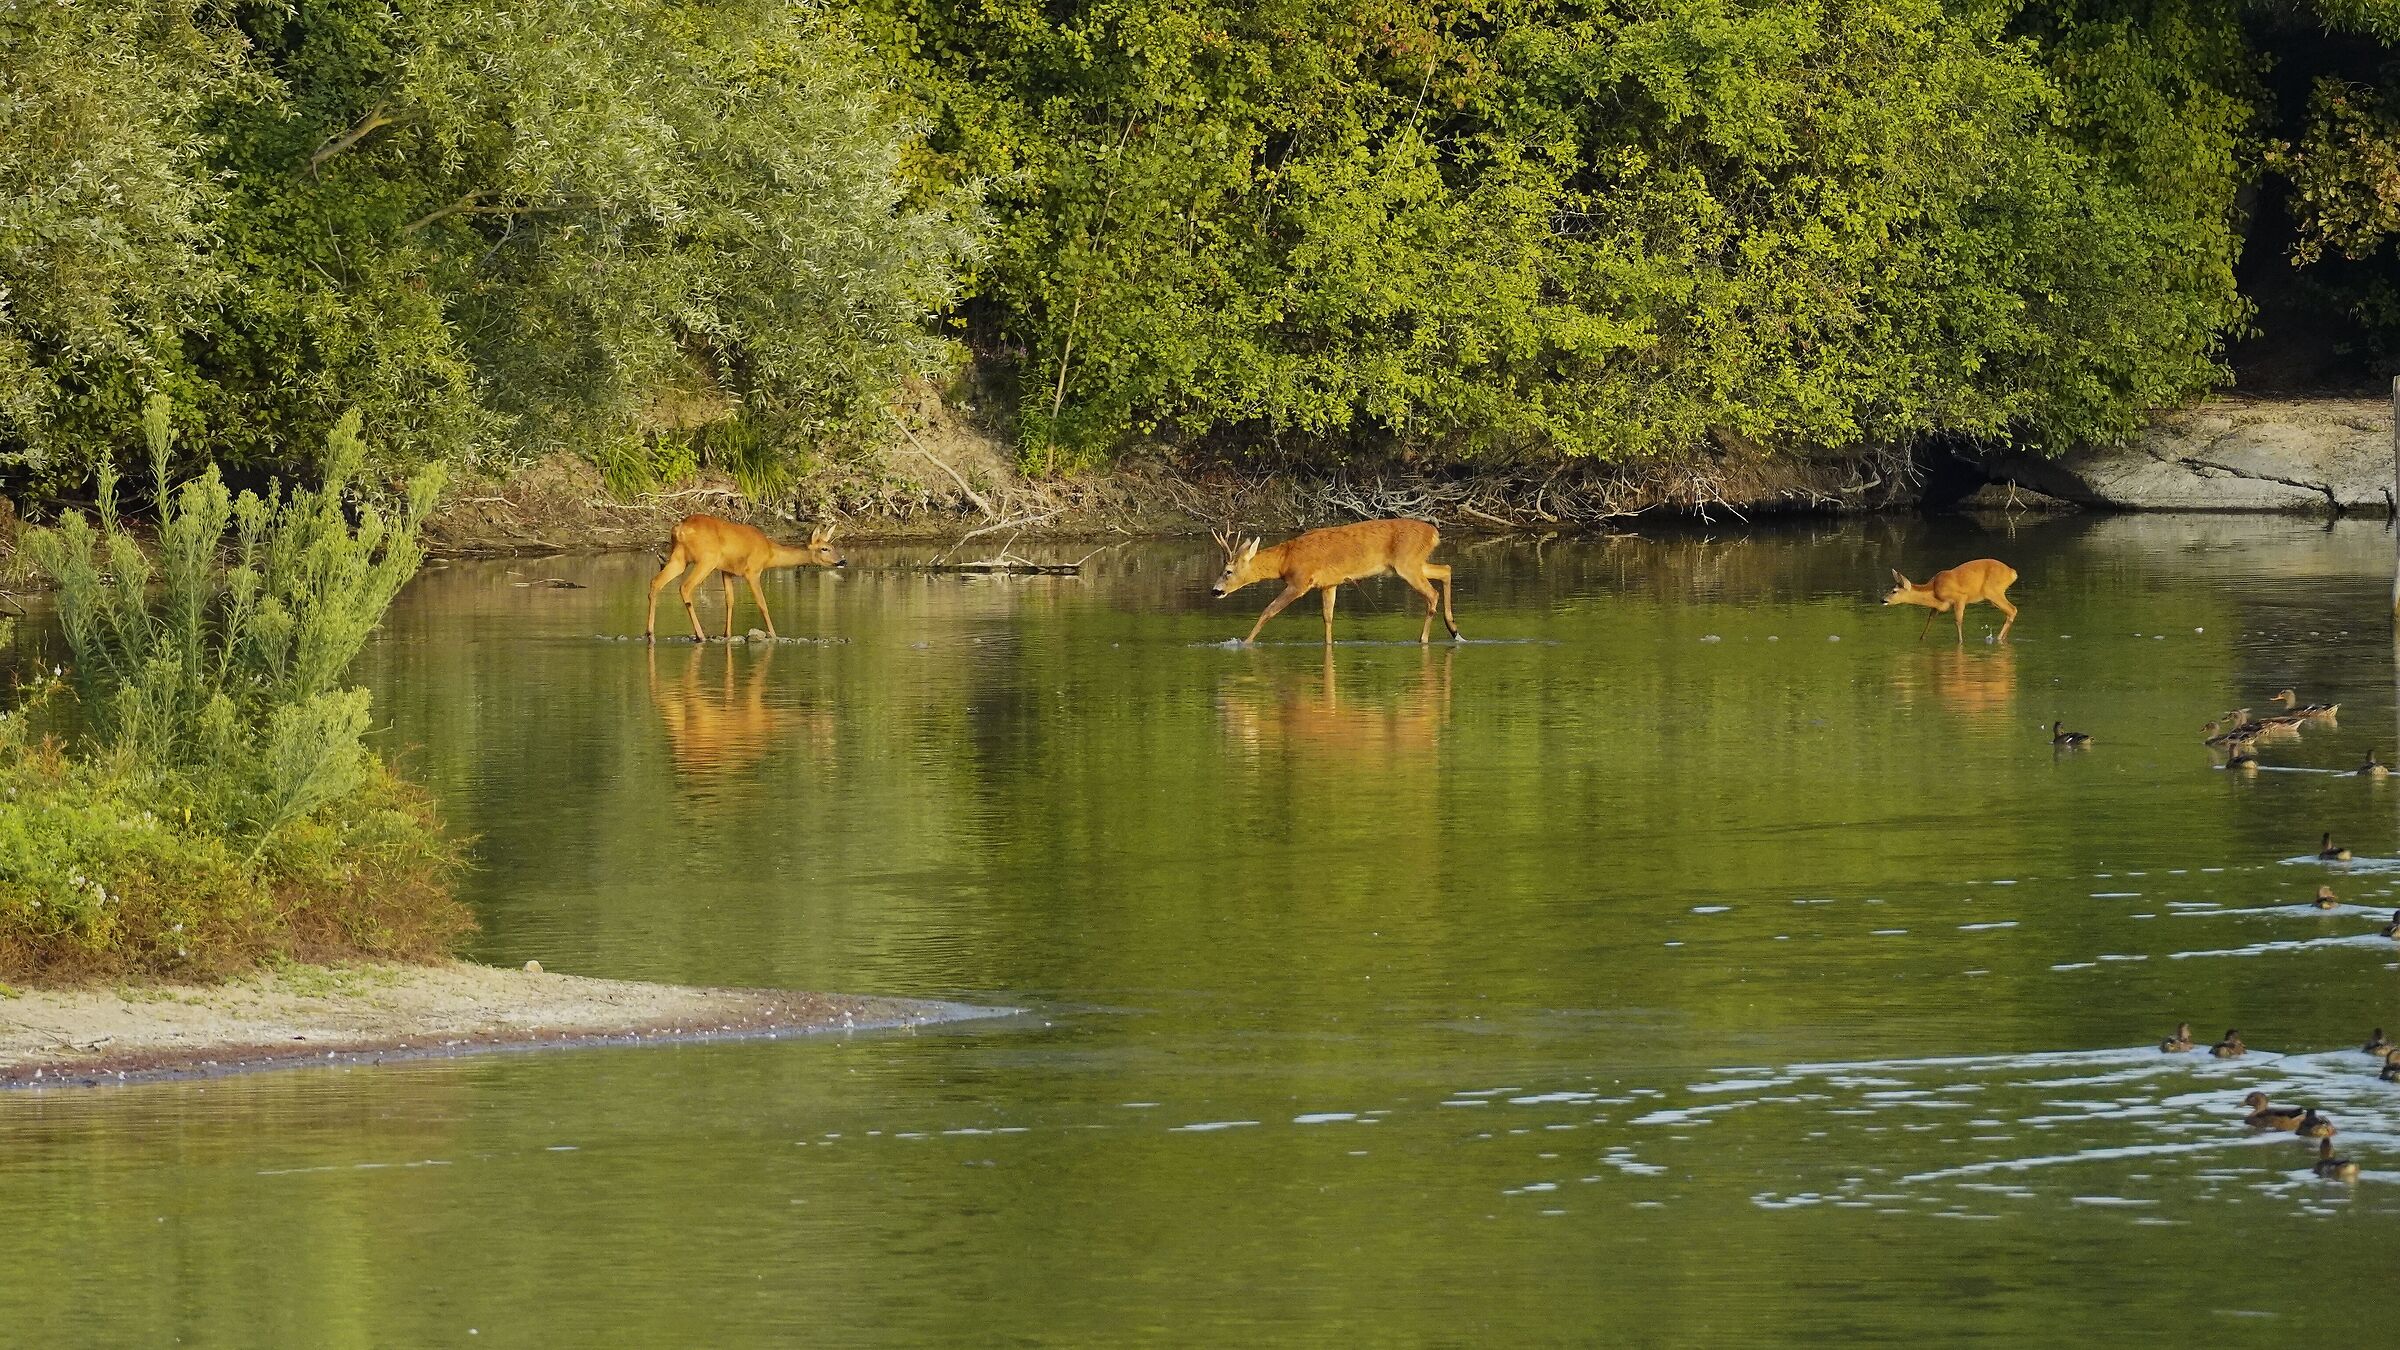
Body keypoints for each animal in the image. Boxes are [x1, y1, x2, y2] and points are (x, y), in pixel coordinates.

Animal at [645, 514, 845, 643]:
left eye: (833, 546)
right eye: (825, 549)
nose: (843, 560)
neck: (769, 553)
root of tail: (679, 529)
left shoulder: (726, 571)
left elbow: (730, 601)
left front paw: (727, 633)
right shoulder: (752, 571)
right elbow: (762, 603)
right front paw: (774, 634)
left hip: (680, 558)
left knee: (655, 582)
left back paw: (650, 634)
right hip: (706, 559)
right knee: (685, 587)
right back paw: (700, 635)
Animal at [1210, 519, 1461, 645]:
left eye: (1228, 571)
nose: (1215, 591)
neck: (1285, 560)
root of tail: (1434, 533)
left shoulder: (1300, 581)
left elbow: (1269, 610)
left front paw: (1244, 642)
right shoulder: (1329, 584)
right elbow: (1328, 617)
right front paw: (1329, 644)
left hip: (1407, 564)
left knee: (1432, 594)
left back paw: (1425, 639)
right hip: (1414, 563)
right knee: (1446, 570)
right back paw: (1454, 629)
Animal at [1881, 558, 2019, 644]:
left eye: (1894, 591)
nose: (1882, 600)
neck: (1933, 590)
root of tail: (2012, 573)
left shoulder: (1960, 598)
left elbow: (1958, 621)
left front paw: (1960, 642)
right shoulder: (1938, 606)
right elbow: (1930, 619)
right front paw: (1921, 639)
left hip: (1992, 591)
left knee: (2012, 609)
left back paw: (1999, 638)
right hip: (1993, 596)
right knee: (2010, 612)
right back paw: (2002, 638)